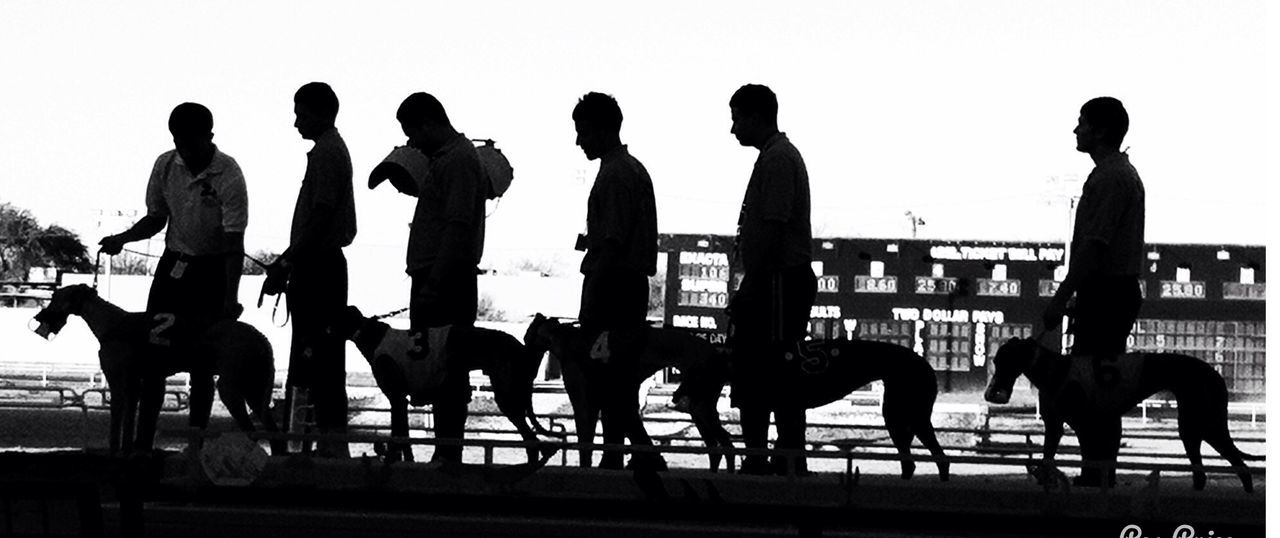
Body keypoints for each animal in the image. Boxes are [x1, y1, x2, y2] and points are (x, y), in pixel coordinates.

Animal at [33, 283, 284, 456]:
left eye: (55, 297)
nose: (37, 316)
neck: (112, 324)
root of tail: (260, 337)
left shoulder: (118, 384)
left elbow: (116, 424)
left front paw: (114, 452)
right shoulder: (135, 386)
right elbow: (128, 426)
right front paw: (127, 452)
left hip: (230, 388)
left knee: (253, 431)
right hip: (254, 390)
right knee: (273, 432)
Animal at [330, 307, 555, 466]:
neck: (370, 334)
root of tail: (521, 350)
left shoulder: (397, 398)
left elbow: (400, 436)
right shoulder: (400, 401)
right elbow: (403, 436)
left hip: (506, 396)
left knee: (532, 441)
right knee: (534, 442)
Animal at [524, 315, 737, 471]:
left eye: (526, 337)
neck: (566, 339)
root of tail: (718, 356)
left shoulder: (584, 403)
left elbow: (585, 445)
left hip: (700, 401)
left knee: (727, 446)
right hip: (698, 405)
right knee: (716, 448)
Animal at [983, 338, 1254, 494]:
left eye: (1005, 360)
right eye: (996, 360)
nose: (993, 392)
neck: (1053, 369)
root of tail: (1215, 373)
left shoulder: (1084, 426)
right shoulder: (1056, 425)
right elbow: (1049, 455)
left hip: (1204, 423)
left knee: (1236, 463)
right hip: (1193, 426)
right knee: (1205, 471)